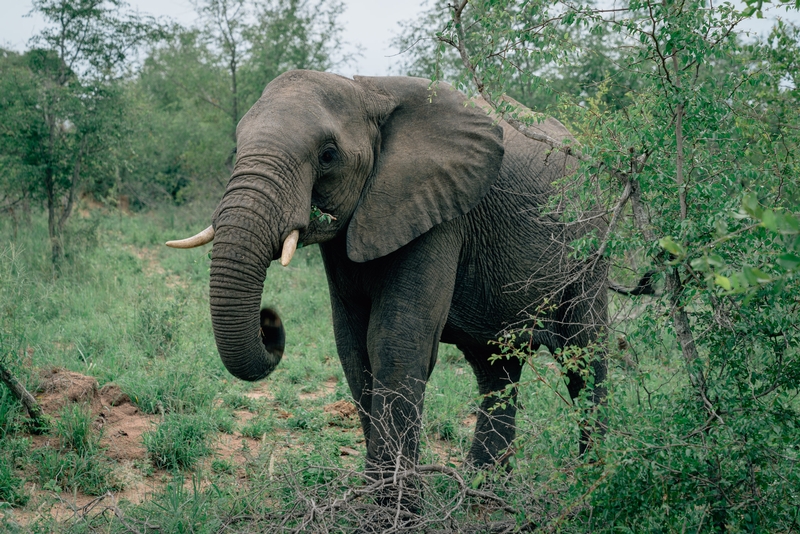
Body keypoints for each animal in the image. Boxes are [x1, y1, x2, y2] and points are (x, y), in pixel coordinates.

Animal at [167, 70, 608, 478]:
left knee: (584, 352)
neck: (367, 90)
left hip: (591, 242)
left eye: (328, 156)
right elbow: (353, 347)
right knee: (495, 365)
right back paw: (484, 483)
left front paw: (391, 505)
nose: (269, 320)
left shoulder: (439, 210)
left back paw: (591, 478)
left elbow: (396, 341)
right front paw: (375, 491)